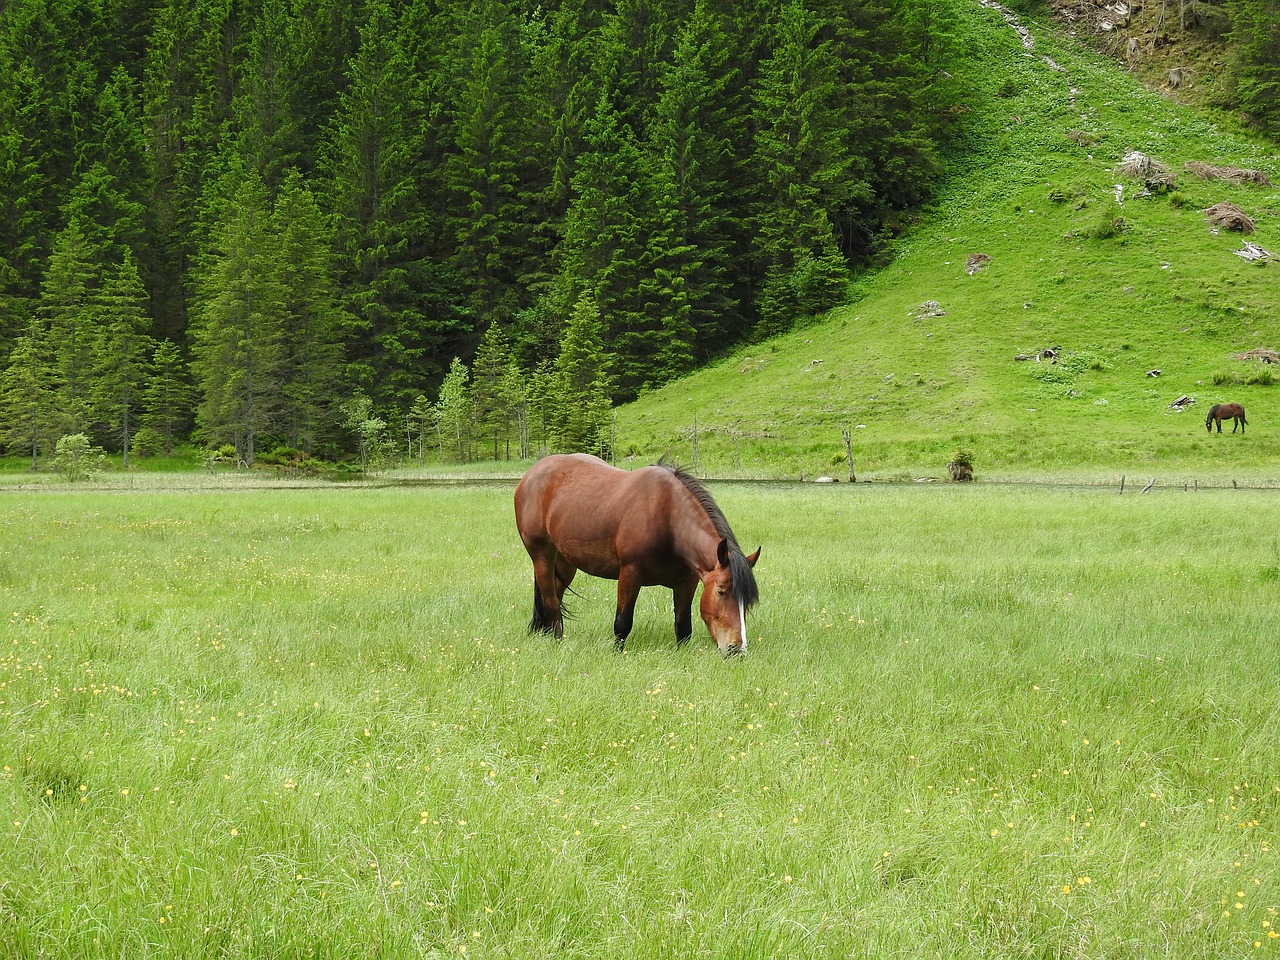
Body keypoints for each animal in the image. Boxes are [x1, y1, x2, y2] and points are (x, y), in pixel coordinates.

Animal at [514, 455, 757, 655]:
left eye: (748, 601)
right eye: (721, 592)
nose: (737, 649)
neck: (667, 517)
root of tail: (531, 473)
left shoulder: (687, 582)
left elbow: (683, 626)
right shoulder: (630, 574)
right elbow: (622, 623)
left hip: (565, 562)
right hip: (542, 556)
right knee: (551, 602)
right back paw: (558, 642)